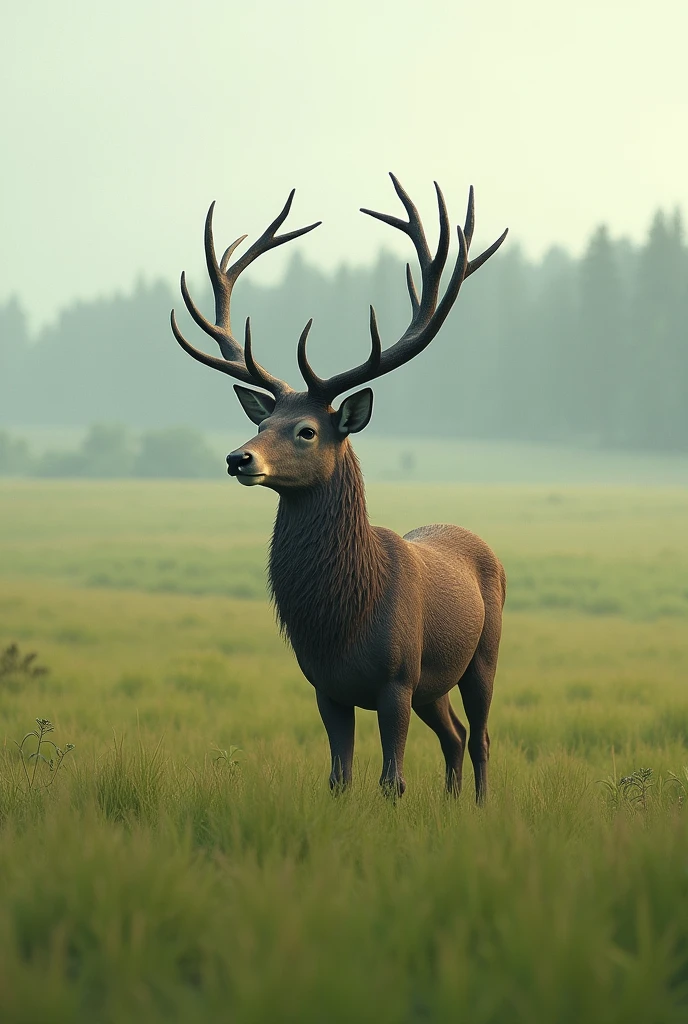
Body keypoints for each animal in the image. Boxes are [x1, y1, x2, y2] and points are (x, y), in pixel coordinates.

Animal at [169, 174, 507, 798]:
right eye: (262, 424)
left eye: (306, 430)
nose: (238, 457)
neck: (344, 618)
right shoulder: (324, 686)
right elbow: (339, 777)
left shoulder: (397, 678)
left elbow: (392, 780)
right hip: (434, 685)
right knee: (452, 736)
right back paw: (452, 805)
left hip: (482, 655)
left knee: (480, 738)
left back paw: (478, 806)